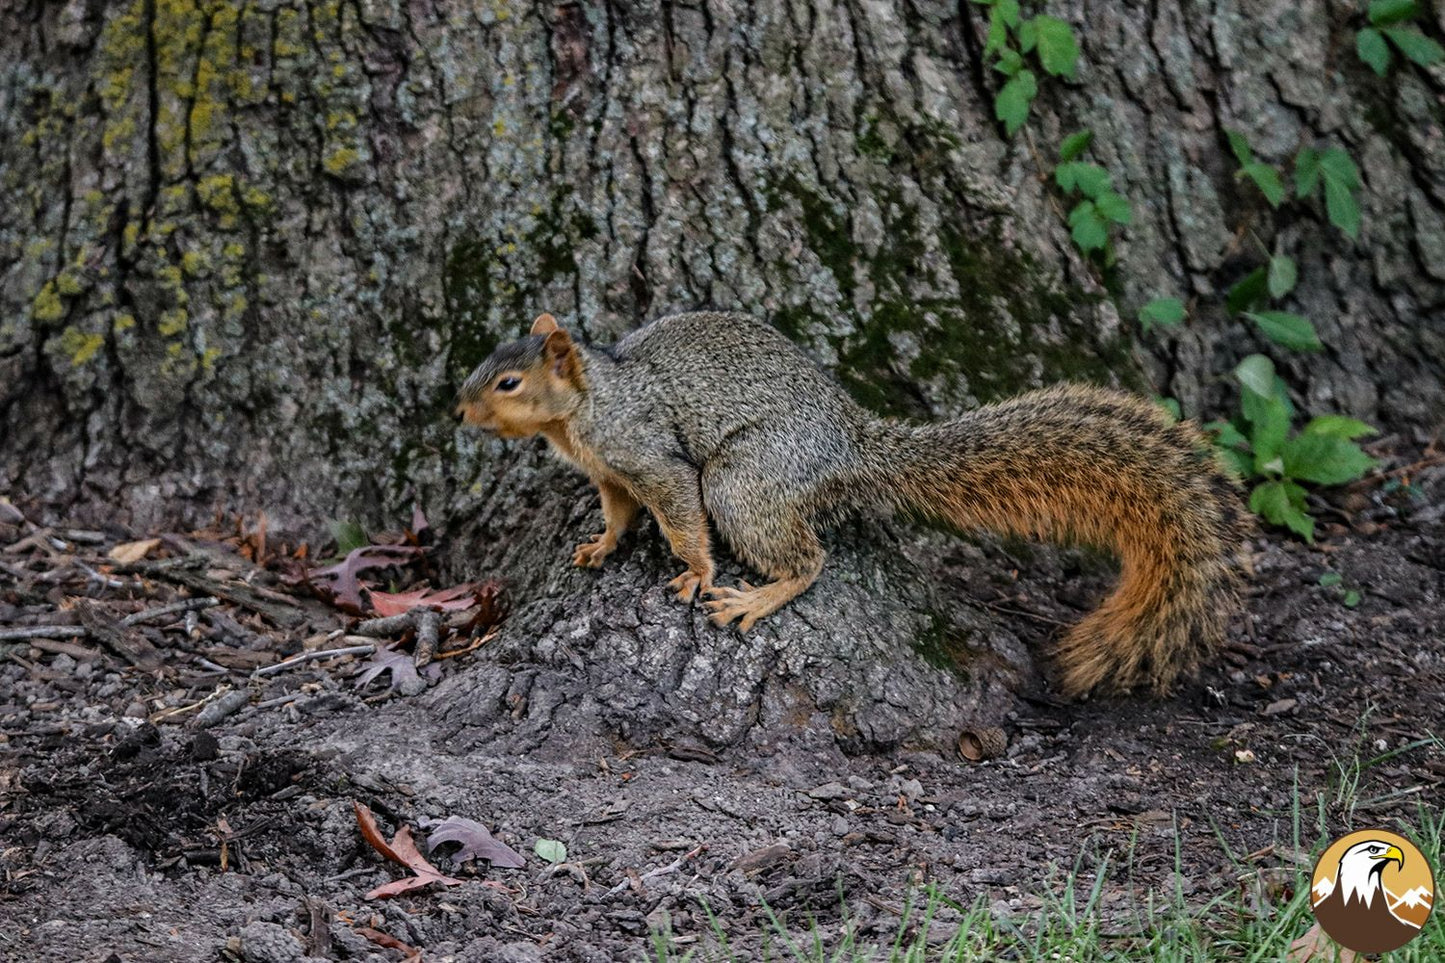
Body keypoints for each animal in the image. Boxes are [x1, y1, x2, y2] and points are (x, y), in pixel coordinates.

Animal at [456, 310, 1248, 694]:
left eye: (508, 383)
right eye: (483, 364)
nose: (460, 413)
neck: (584, 408)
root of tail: (847, 446)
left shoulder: (649, 454)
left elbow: (680, 512)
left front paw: (696, 573)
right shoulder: (611, 475)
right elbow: (619, 514)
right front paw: (599, 545)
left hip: (746, 479)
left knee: (808, 556)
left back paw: (757, 597)